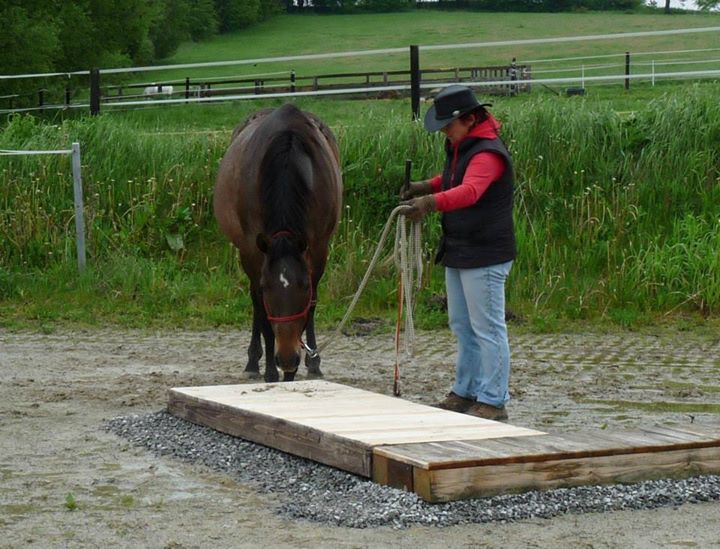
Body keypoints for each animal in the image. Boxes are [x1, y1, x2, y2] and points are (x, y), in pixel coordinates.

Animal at [214, 105, 344, 384]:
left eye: (303, 285)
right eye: (267, 287)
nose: (286, 358)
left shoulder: (318, 249)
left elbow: (312, 306)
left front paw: (305, 364)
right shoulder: (253, 252)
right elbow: (261, 309)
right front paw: (272, 372)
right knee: (254, 303)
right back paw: (253, 362)